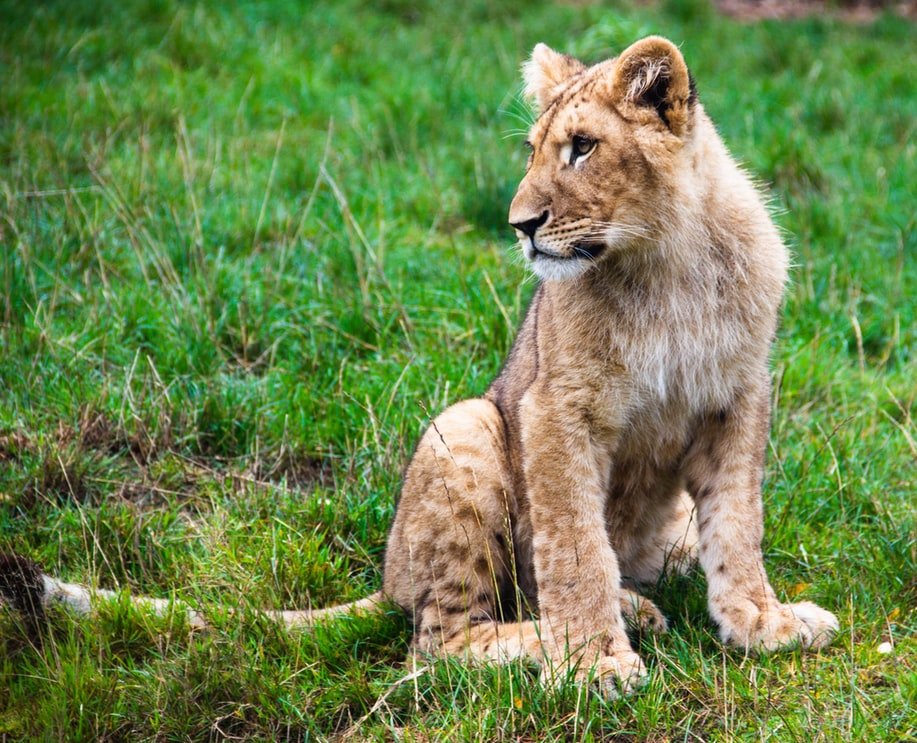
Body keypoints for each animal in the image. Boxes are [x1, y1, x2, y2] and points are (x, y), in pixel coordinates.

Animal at [1, 36, 838, 697]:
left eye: (582, 147)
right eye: (534, 149)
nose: (519, 224)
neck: (666, 259)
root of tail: (384, 578)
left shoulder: (738, 395)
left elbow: (737, 523)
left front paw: (761, 620)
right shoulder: (553, 405)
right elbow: (573, 545)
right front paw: (592, 661)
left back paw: (636, 606)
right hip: (464, 422)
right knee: (437, 642)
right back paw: (568, 635)